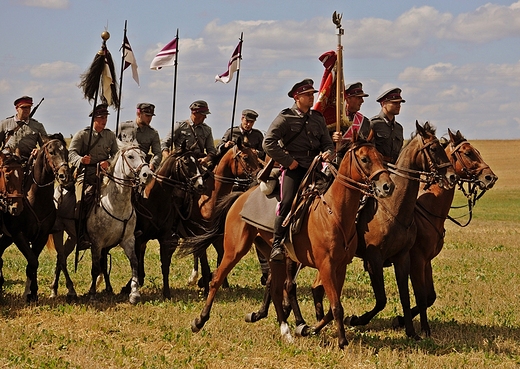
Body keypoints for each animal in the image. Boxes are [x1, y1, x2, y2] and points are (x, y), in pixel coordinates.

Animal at [0, 134, 73, 300]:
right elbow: (32, 262)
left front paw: (33, 292)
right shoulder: (19, 235)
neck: (36, 199)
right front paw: (29, 292)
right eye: (51, 152)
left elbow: (33, 262)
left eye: (66, 152)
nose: (64, 176)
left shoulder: (41, 236)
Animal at [84, 142, 152, 304]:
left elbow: (134, 263)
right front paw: (92, 294)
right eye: (130, 156)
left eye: (144, 156)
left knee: (104, 263)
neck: (116, 206)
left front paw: (134, 293)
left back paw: (109, 288)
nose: (147, 174)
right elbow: (95, 268)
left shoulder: (128, 240)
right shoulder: (96, 243)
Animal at [180, 133, 394, 348]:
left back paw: (286, 330)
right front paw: (341, 341)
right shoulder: (326, 267)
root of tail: (241, 196)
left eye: (381, 157)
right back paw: (199, 321)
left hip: (275, 257)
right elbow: (336, 306)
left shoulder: (340, 267)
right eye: (365, 159)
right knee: (217, 279)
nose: (388, 186)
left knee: (275, 289)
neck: (334, 213)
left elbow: (332, 308)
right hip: (235, 250)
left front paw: (309, 329)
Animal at [392, 128, 498, 334]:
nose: (491, 178)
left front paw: (399, 320)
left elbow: (430, 296)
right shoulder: (416, 261)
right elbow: (421, 296)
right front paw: (423, 329)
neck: (427, 210)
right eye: (468, 153)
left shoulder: (427, 262)